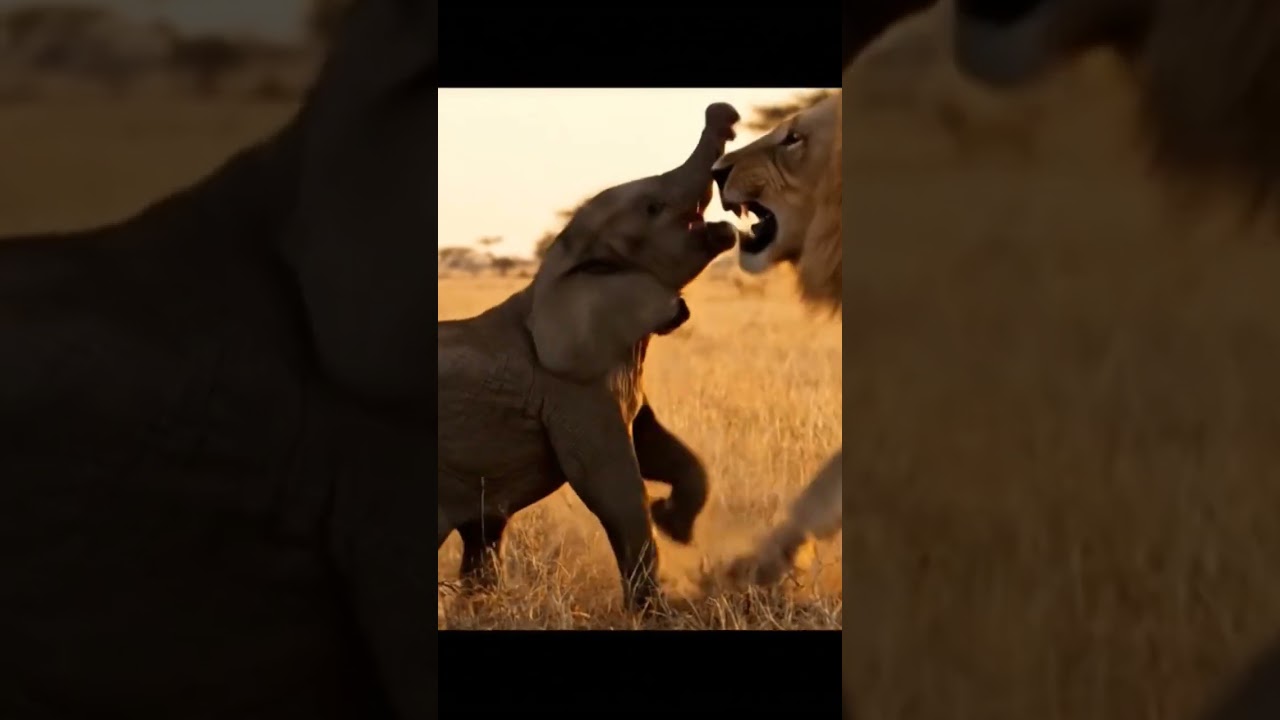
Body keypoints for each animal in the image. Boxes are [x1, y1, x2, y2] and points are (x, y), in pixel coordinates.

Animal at [437, 103, 742, 613]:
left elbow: (659, 445)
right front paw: (656, 613)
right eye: (653, 207)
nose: (722, 112)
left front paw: (674, 522)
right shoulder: (570, 392)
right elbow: (614, 487)